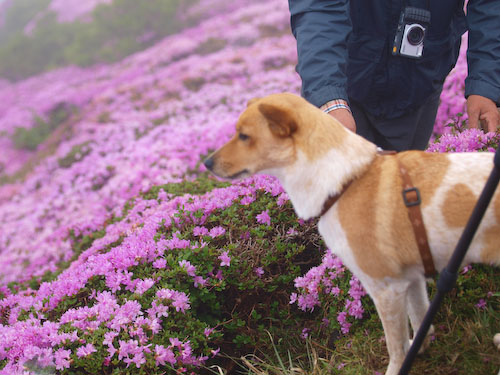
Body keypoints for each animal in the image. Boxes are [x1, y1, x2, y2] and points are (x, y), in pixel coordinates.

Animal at [204, 92, 500, 374]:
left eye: (244, 136)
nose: (207, 163)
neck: (343, 182)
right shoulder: (412, 278)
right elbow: (420, 321)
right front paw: (421, 349)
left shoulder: (386, 289)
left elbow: (397, 347)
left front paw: (399, 367)